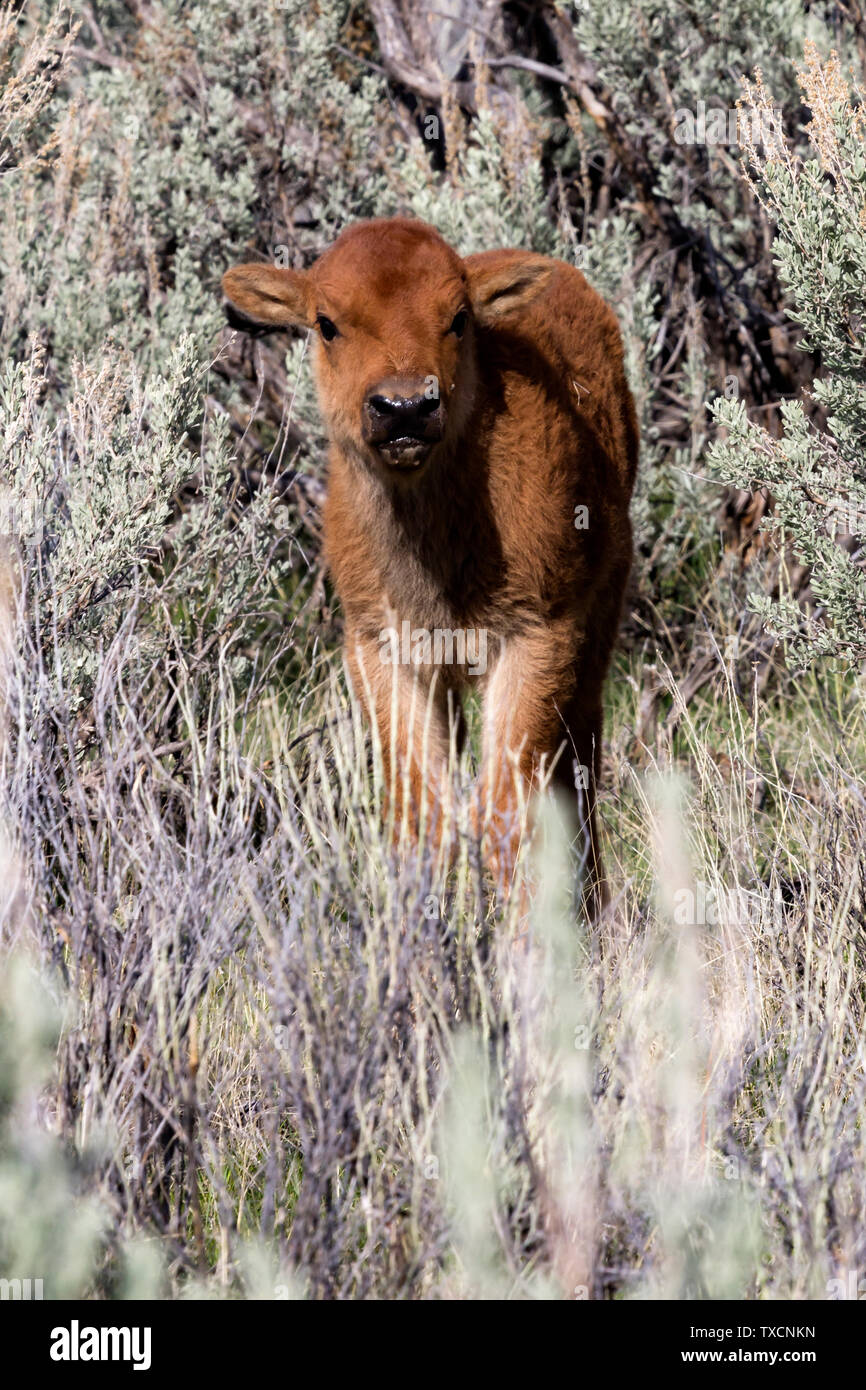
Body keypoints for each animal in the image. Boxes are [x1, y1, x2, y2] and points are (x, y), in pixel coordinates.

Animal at [222, 217, 638, 914]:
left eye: (459, 317)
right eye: (326, 322)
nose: (406, 408)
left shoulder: (540, 635)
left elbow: (509, 814)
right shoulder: (381, 649)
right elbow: (422, 816)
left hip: (599, 621)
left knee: (579, 761)